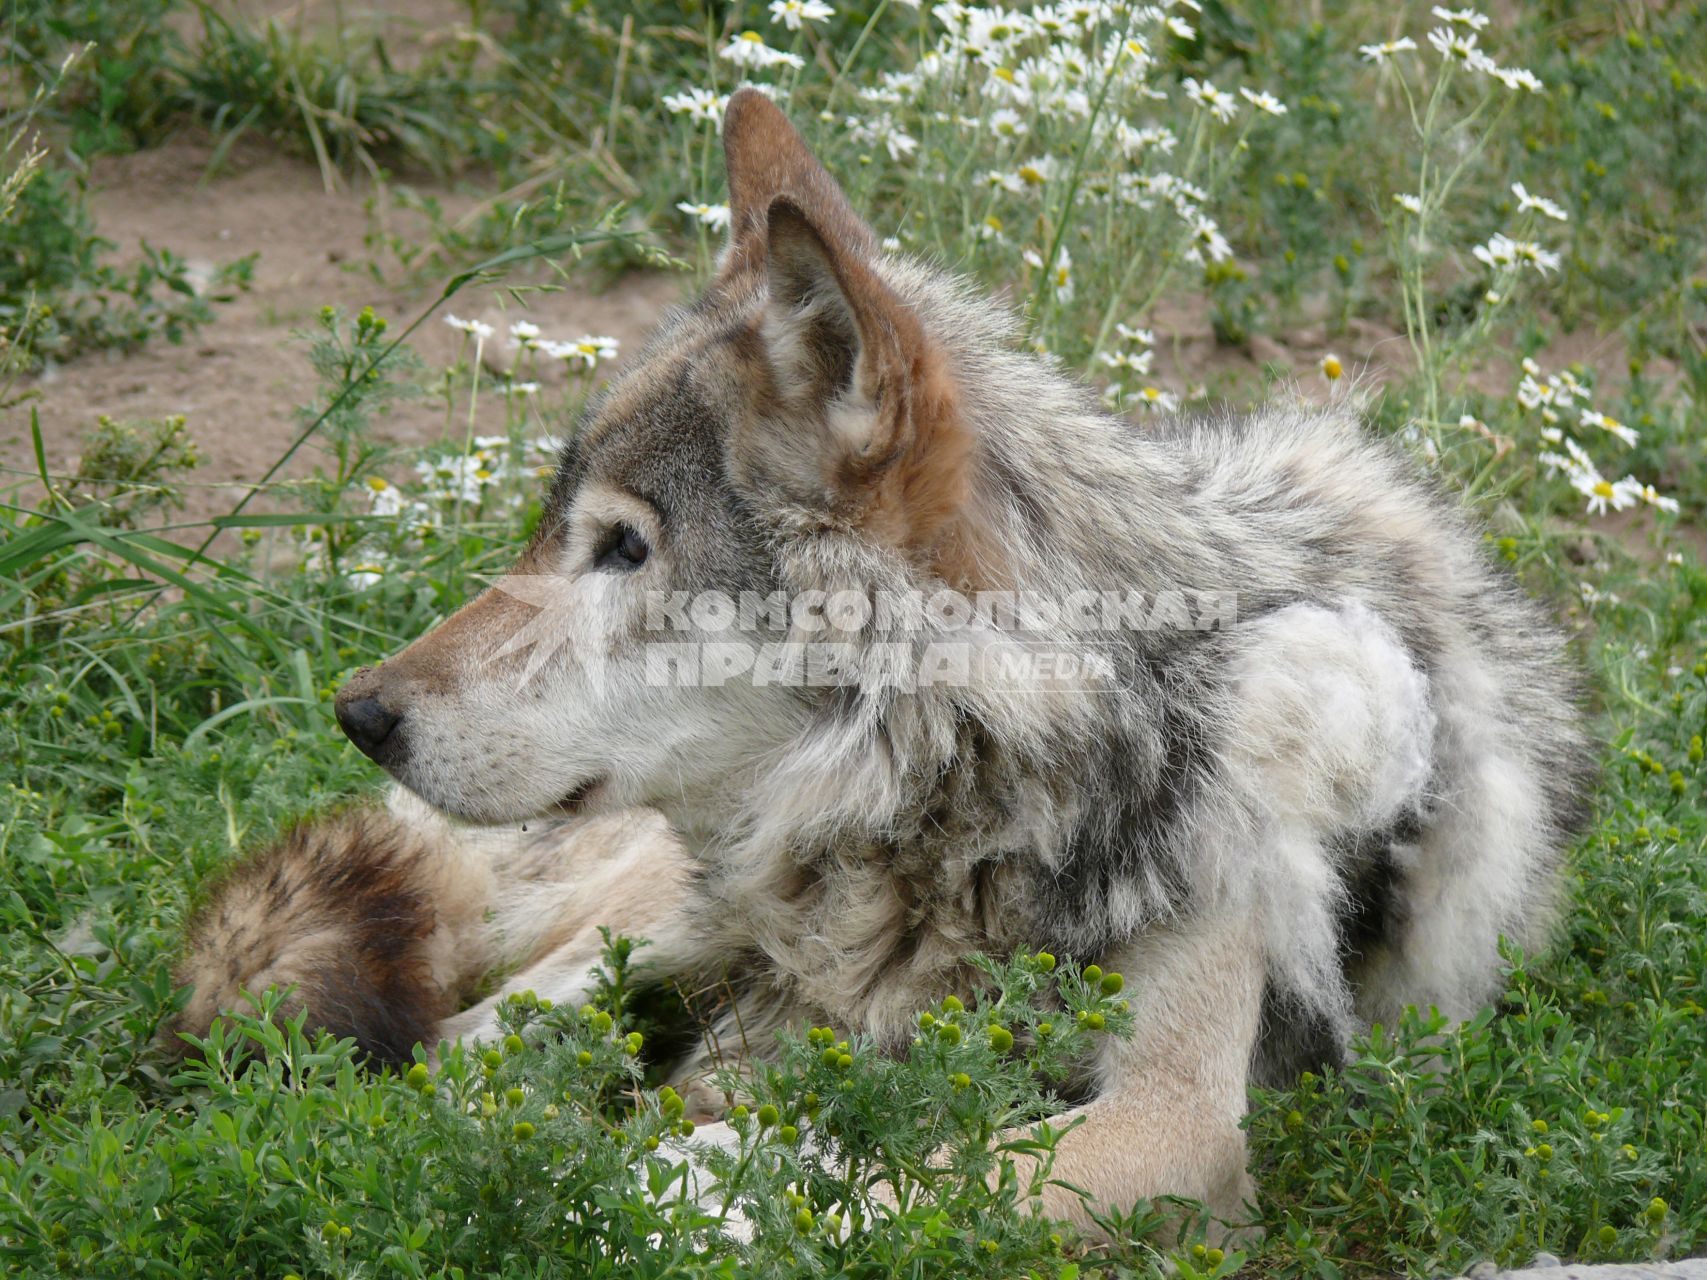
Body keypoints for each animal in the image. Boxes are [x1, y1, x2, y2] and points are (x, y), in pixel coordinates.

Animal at [166, 87, 1590, 1235]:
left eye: (625, 547)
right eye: (548, 529)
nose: (362, 714)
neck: (995, 784)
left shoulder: (1174, 1119)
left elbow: (852, 1171)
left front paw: (656, 1174)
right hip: (671, 912)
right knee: (465, 1042)